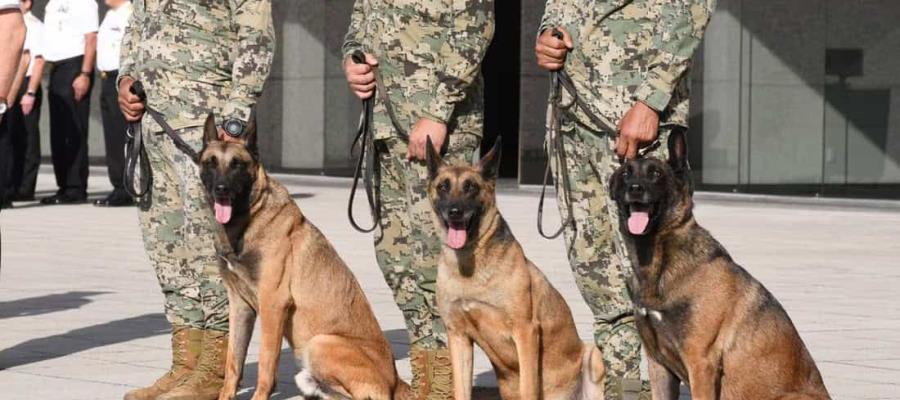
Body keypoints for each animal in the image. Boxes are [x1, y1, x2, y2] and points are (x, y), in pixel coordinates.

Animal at [198, 114, 412, 398]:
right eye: (210, 163)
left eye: (237, 165)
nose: (221, 189)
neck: (249, 218)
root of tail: (396, 380)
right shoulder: (240, 305)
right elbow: (233, 363)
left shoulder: (273, 303)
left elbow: (266, 365)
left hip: (321, 342)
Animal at [424, 138, 604, 400]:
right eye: (443, 187)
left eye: (471, 187)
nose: (455, 212)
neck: (470, 265)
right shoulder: (458, 336)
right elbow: (461, 390)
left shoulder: (526, 332)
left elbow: (529, 387)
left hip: (592, 356)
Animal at [612, 130, 828, 398]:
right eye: (626, 173)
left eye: (656, 174)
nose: (635, 188)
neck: (659, 263)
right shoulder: (658, 365)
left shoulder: (700, 363)